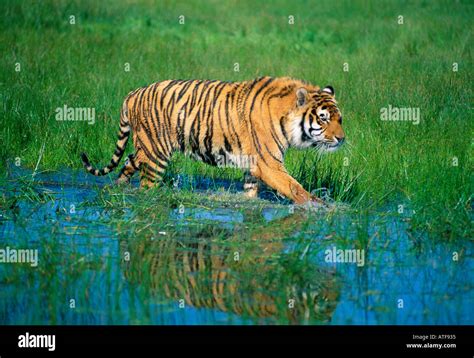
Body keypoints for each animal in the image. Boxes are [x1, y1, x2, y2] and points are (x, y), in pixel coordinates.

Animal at [82, 76, 344, 204]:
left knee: (128, 162)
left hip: (145, 149)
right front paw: (321, 208)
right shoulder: (270, 164)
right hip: (156, 154)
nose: (342, 139)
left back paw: (117, 188)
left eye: (339, 118)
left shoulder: (254, 165)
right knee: (146, 184)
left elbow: (251, 192)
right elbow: (296, 189)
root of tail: (133, 93)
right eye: (323, 118)